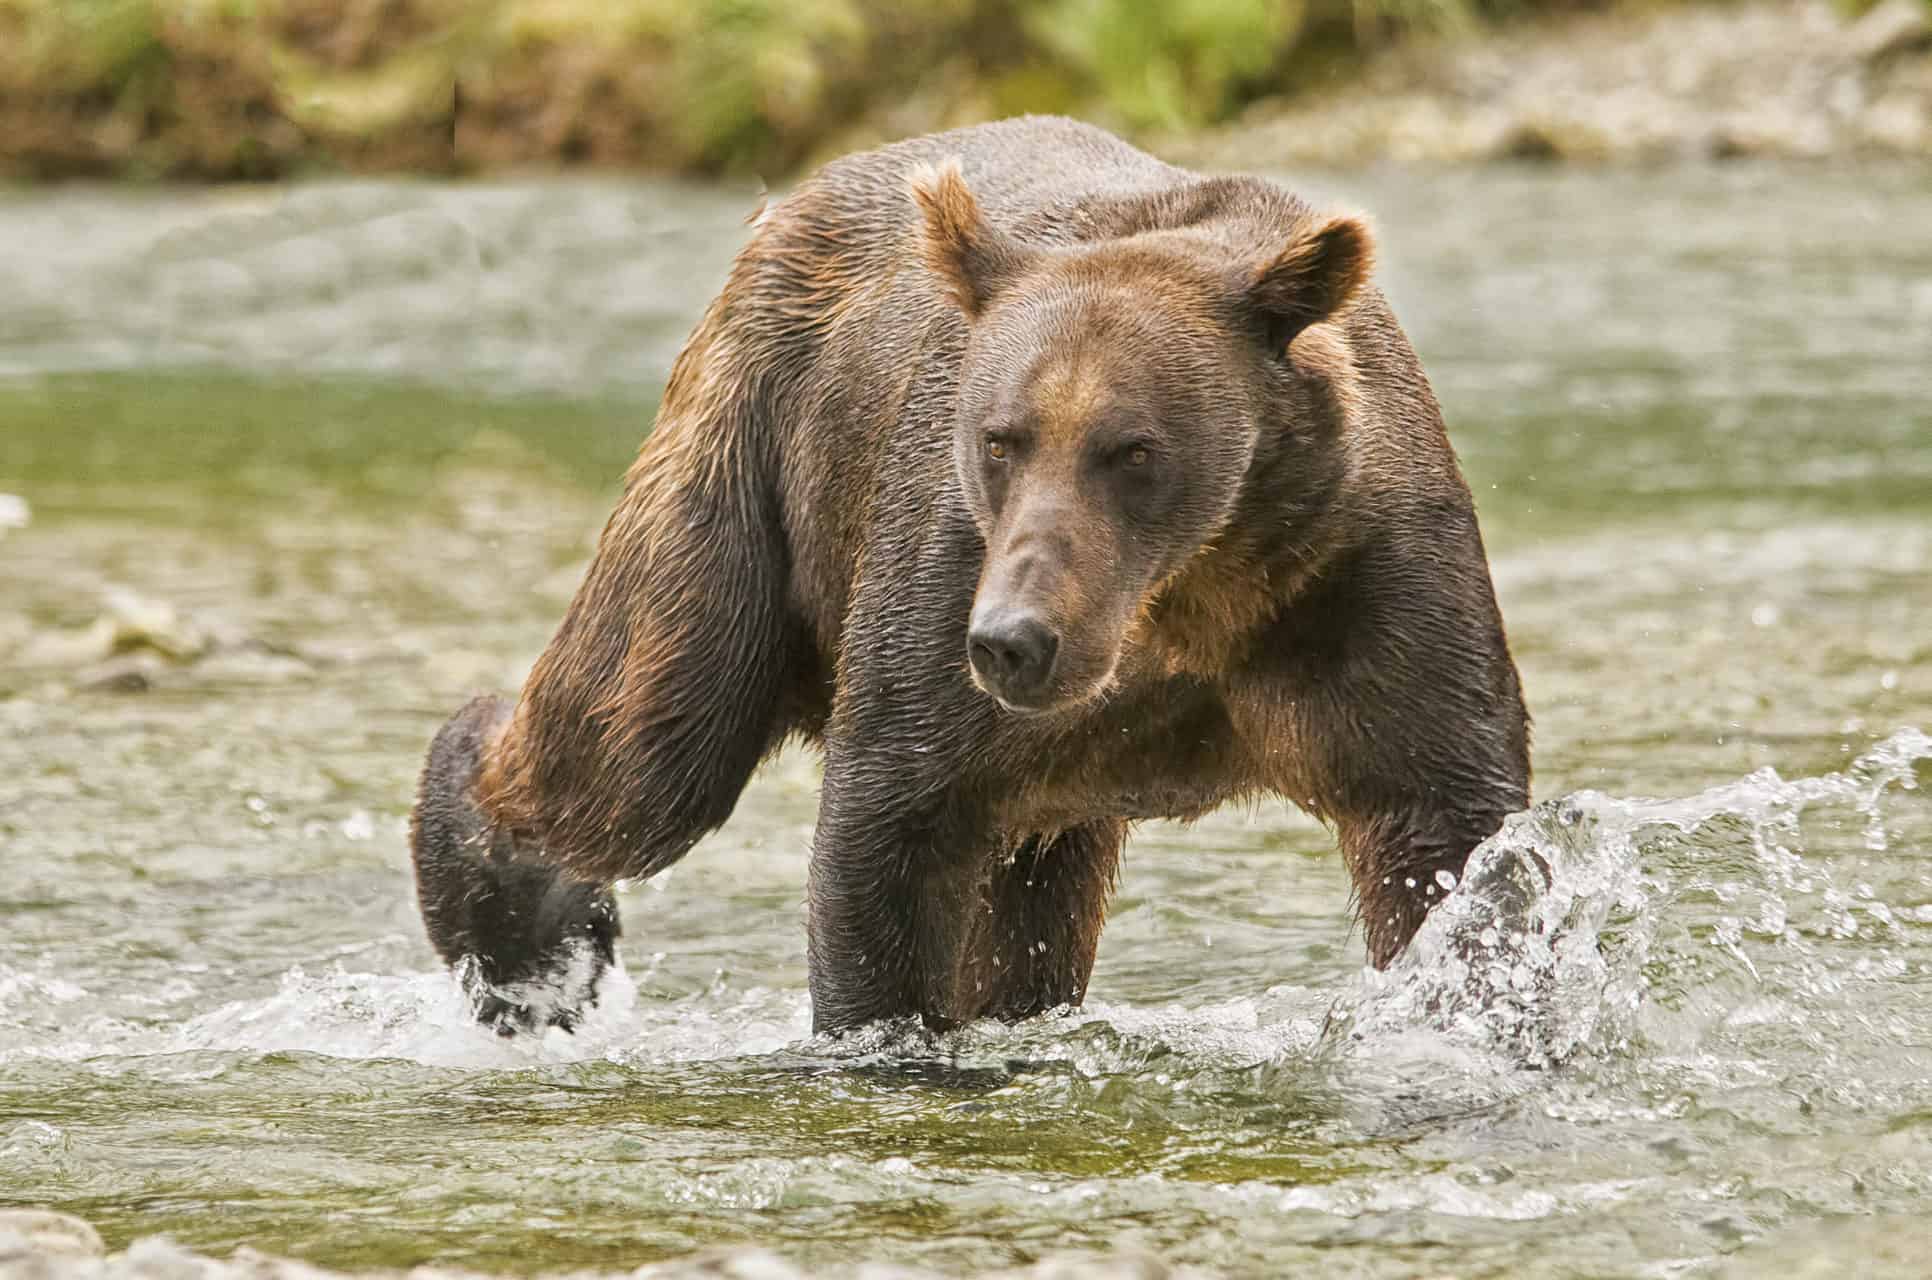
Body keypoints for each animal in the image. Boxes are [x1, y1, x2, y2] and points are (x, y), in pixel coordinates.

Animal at [407, 117, 1522, 1042]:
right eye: (999, 437)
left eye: (1133, 449)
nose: (1014, 639)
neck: (1187, 605)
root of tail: (803, 194)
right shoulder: (942, 589)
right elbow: (886, 836)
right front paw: (885, 1037)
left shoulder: (1359, 593)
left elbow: (1446, 831)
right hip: (752, 451)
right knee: (651, 739)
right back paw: (516, 915)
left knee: (1031, 903)